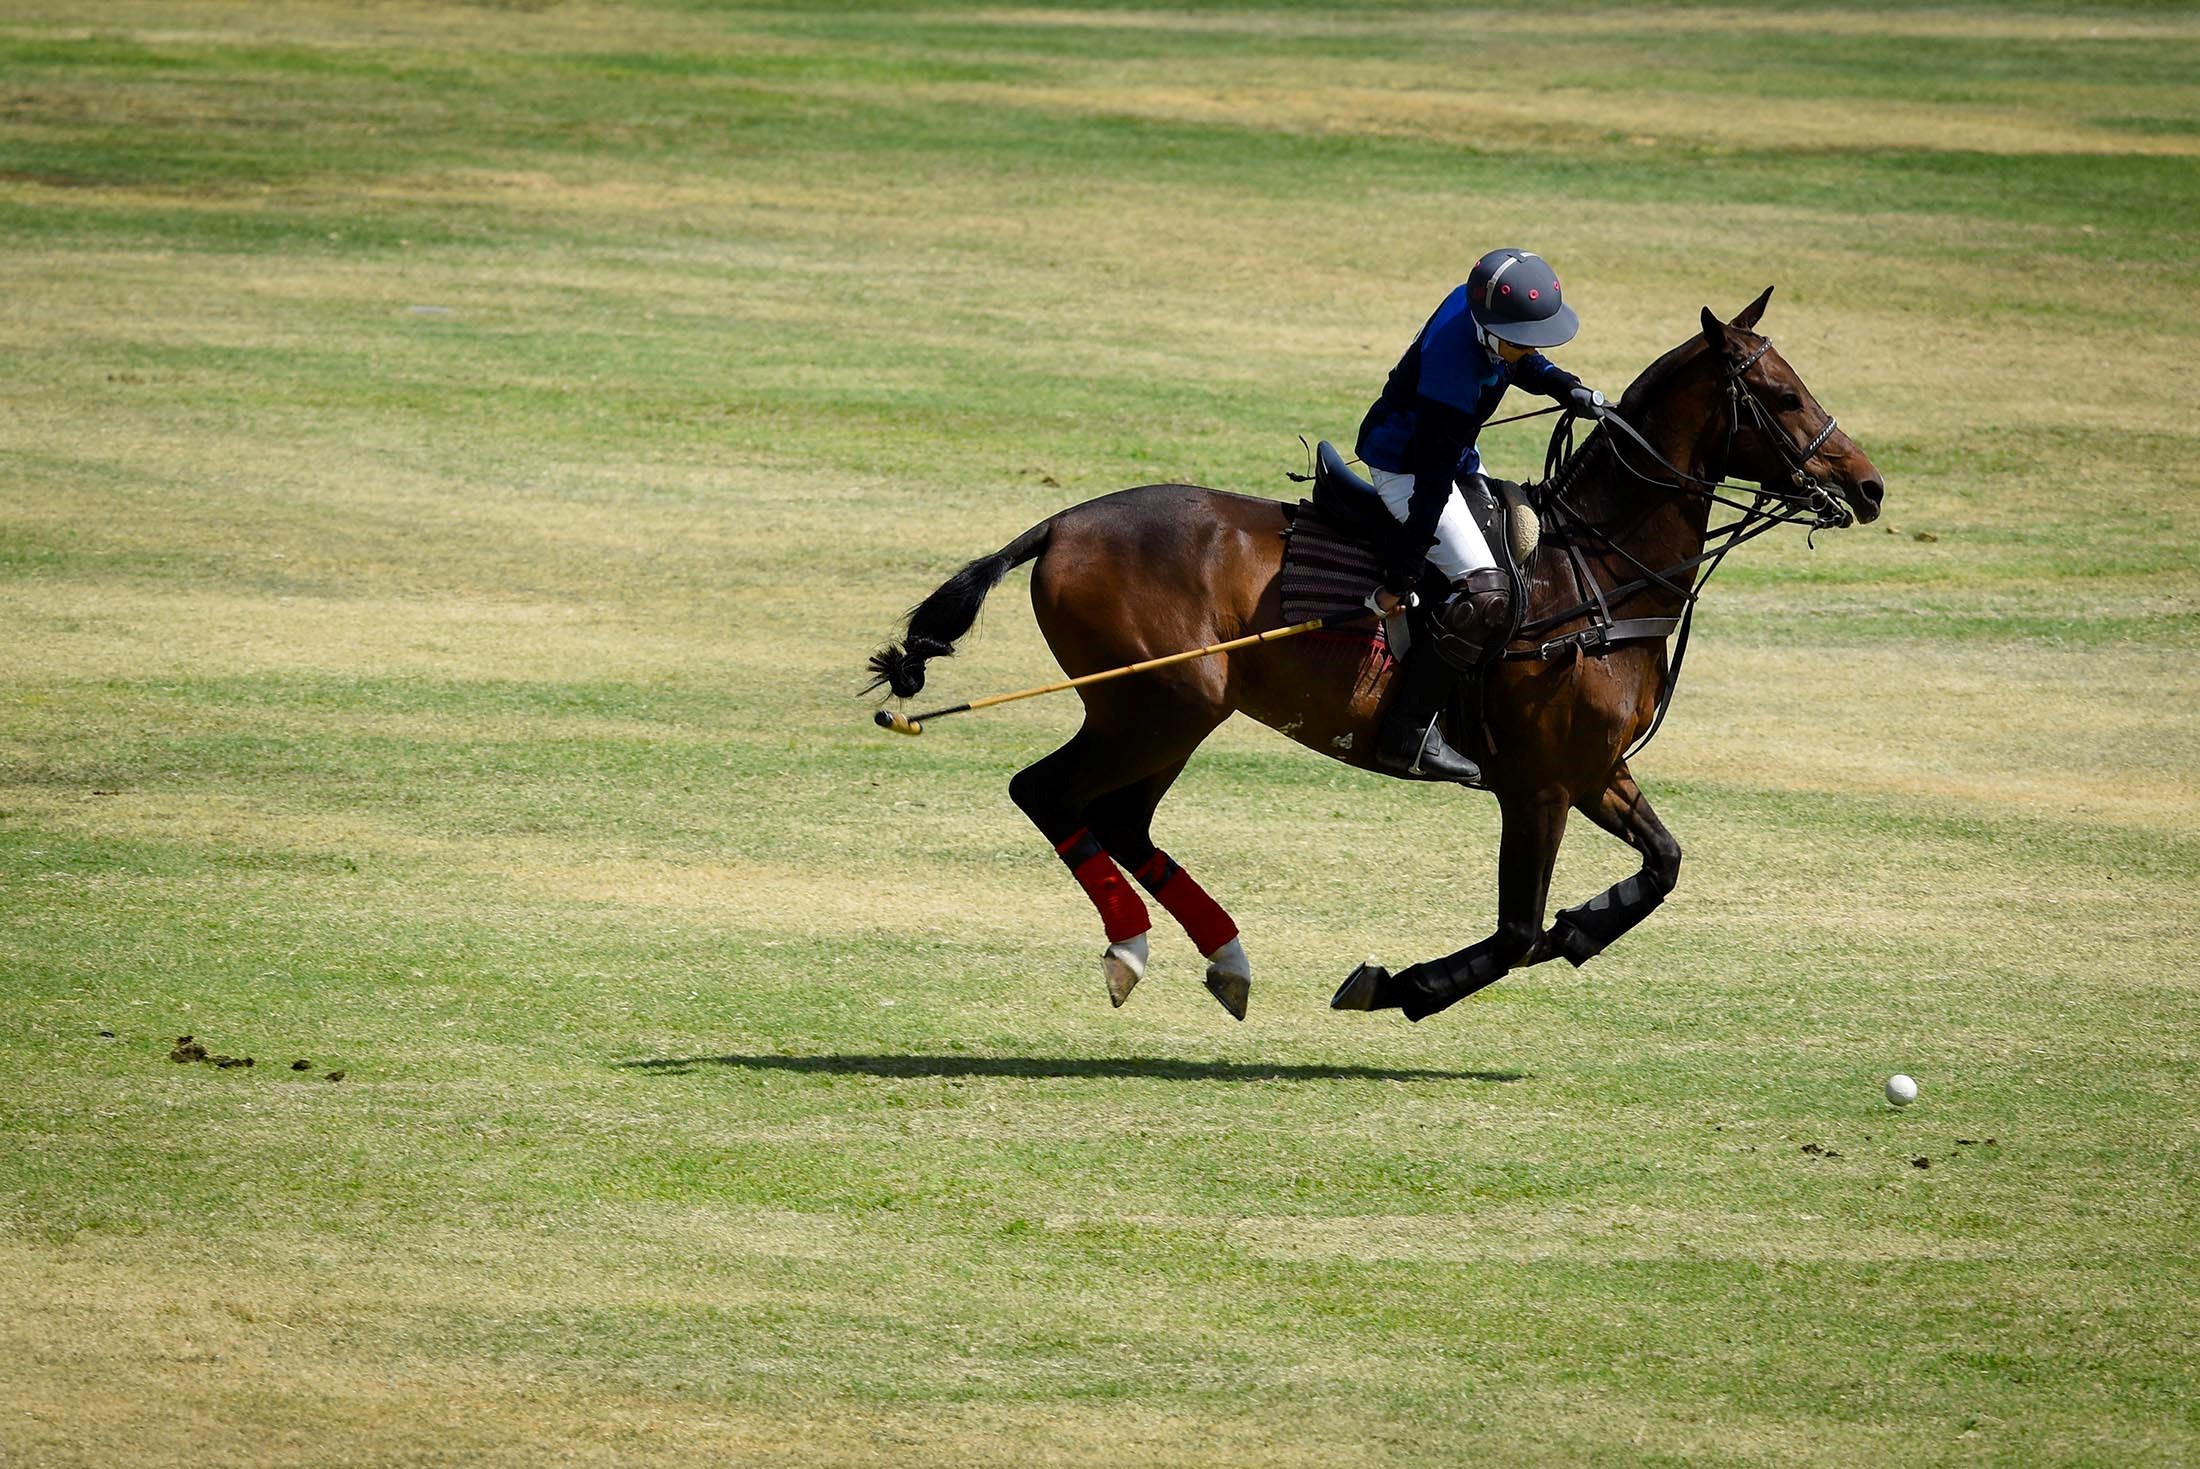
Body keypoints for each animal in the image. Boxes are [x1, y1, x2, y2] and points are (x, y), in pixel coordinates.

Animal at [866, 288, 1883, 1020]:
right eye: (1782, 395)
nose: (1869, 487)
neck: (1598, 568)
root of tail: (1060, 525)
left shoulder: (1594, 769)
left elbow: (1664, 864)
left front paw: (1583, 928)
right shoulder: (1541, 782)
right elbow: (1516, 930)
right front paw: (1403, 985)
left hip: (1168, 715)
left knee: (1119, 818)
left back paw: (1226, 958)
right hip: (1157, 702)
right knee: (1047, 792)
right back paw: (1132, 948)